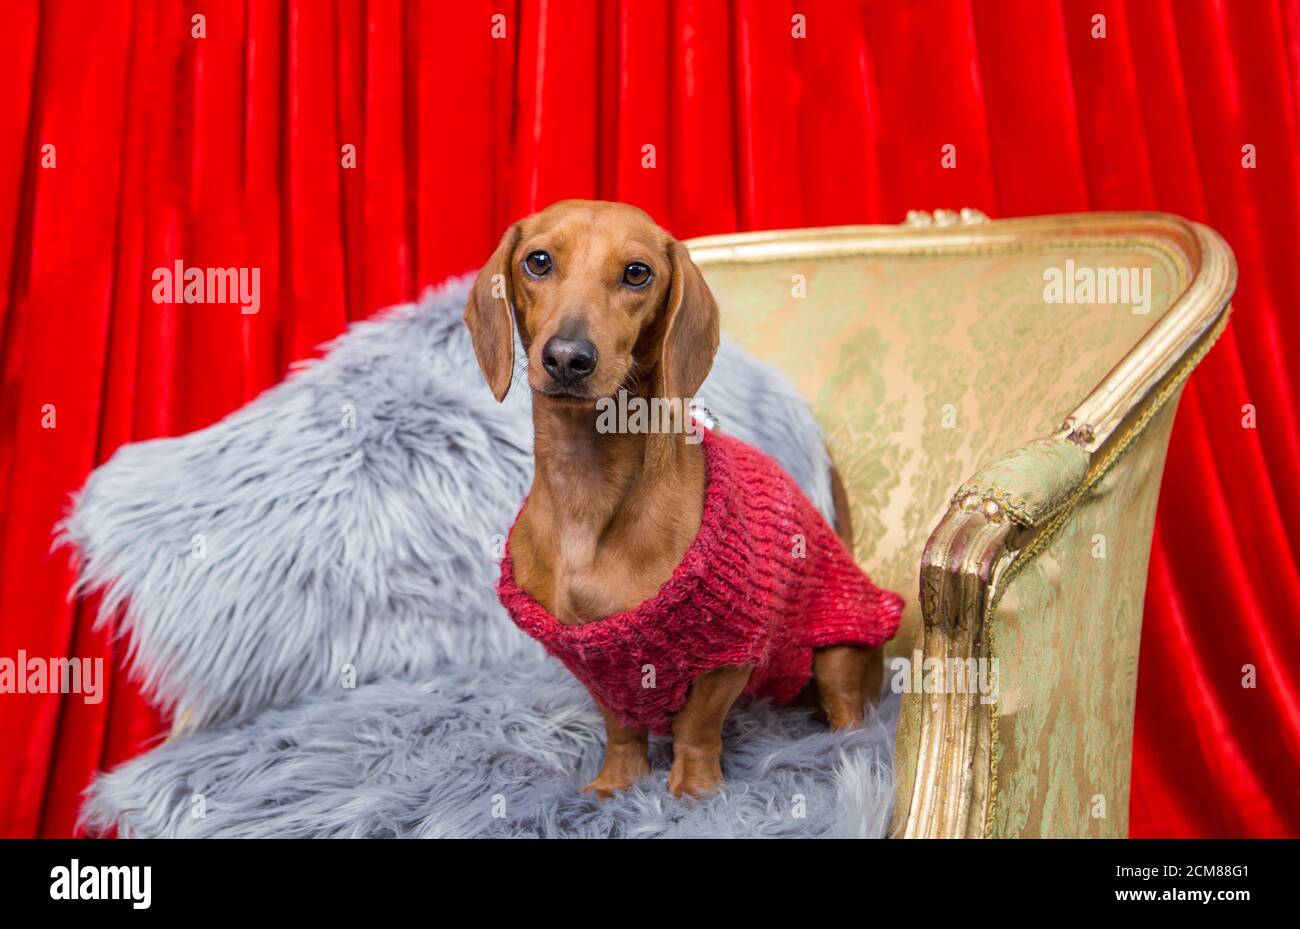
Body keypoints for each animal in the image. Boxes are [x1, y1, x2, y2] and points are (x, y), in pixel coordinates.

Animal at [462, 200, 878, 795]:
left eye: (638, 273)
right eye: (537, 261)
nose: (567, 357)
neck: (587, 488)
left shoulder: (727, 654)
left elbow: (697, 728)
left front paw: (694, 791)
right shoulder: (597, 661)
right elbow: (621, 728)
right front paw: (618, 784)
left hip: (839, 646)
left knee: (847, 705)